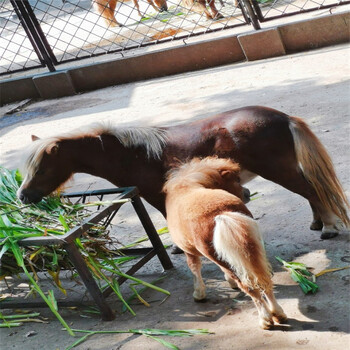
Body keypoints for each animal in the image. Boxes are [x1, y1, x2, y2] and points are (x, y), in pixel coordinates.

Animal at [17, 105, 348, 239]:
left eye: (42, 169)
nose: (22, 196)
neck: (130, 152)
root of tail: (283, 118)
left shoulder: (154, 194)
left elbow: (166, 216)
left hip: (276, 170)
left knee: (311, 191)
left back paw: (329, 228)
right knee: (310, 193)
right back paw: (318, 224)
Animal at [163, 157, 286, 330]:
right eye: (236, 180)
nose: (247, 193)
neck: (187, 186)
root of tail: (222, 213)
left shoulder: (189, 250)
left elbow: (194, 268)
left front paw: (199, 293)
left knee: (250, 286)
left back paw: (265, 319)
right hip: (253, 249)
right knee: (263, 279)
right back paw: (278, 314)